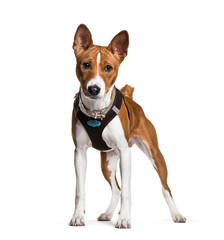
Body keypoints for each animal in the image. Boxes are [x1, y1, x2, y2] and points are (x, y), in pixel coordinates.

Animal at [69, 24, 186, 229]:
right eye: (86, 65)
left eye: (108, 67)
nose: (94, 89)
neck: (96, 112)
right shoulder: (80, 153)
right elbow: (80, 191)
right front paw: (78, 217)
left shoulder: (125, 153)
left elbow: (127, 192)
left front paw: (124, 219)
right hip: (107, 162)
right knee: (116, 188)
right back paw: (108, 214)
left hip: (155, 155)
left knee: (165, 188)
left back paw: (176, 214)